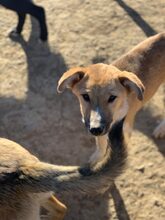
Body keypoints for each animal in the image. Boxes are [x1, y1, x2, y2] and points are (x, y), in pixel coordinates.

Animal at [58, 31, 165, 168]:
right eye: (85, 96)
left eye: (112, 97)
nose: (96, 129)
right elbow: (101, 145)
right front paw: (97, 158)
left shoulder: (124, 131)